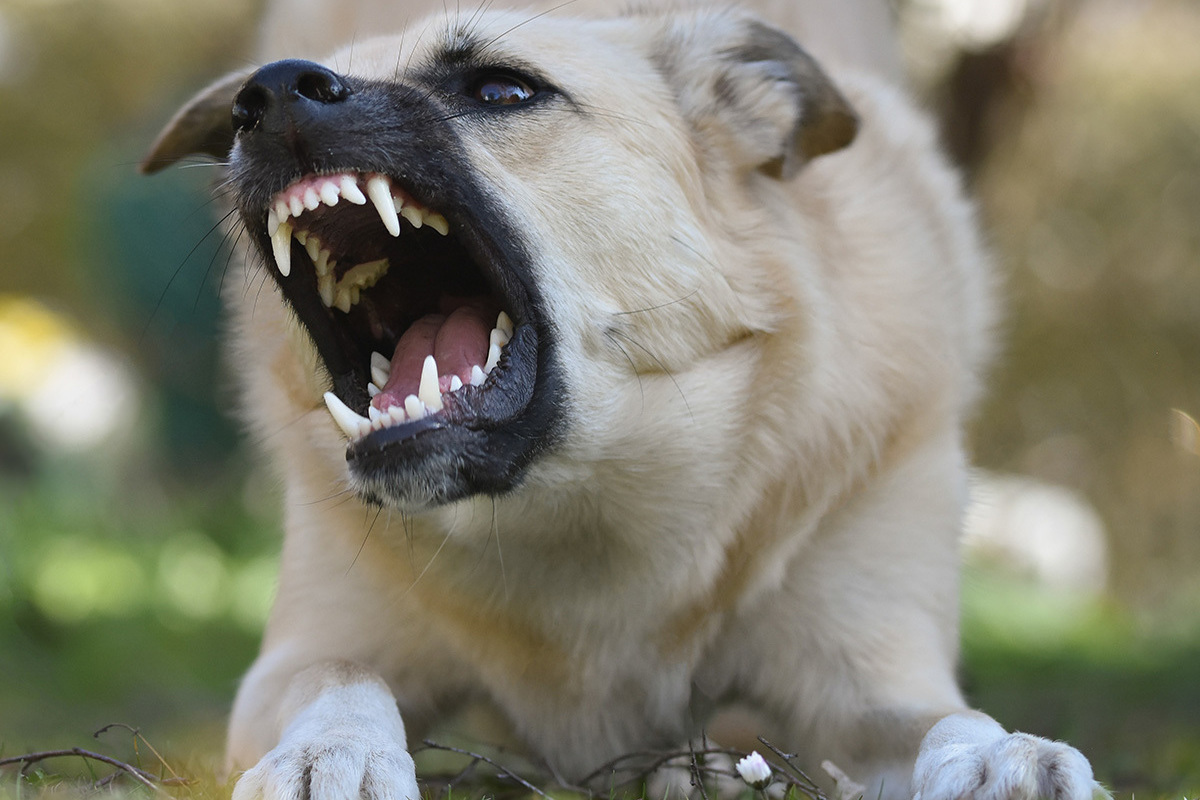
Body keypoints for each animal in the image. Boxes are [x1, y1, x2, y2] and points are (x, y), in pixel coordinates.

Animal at [142, 1, 1104, 800]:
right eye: (251, 104)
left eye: (502, 88)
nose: (267, 95)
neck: (579, 507)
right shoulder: (305, 653)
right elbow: (341, 679)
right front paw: (329, 752)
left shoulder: (865, 677)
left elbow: (946, 717)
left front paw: (1002, 755)